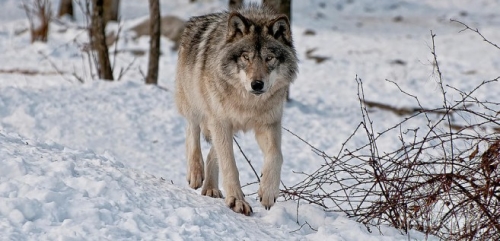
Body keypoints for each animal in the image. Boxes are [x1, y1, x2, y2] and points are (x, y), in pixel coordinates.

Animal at [176, 3, 296, 216]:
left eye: (269, 58)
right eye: (246, 57)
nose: (257, 84)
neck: (248, 103)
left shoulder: (268, 124)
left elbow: (276, 155)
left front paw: (267, 191)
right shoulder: (221, 122)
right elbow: (229, 165)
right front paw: (237, 201)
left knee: (212, 152)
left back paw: (211, 188)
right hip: (195, 105)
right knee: (192, 132)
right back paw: (196, 173)